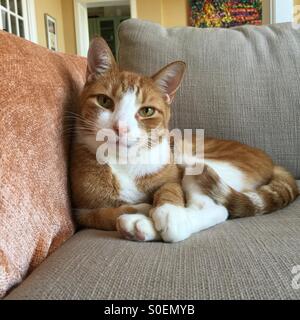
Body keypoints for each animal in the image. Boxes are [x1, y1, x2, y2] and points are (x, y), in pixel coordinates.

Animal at [69, 37, 298, 242]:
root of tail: (271, 161)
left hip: (199, 162)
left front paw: (168, 211)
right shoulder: (81, 210)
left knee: (215, 208)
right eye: (104, 101)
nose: (121, 127)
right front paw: (139, 209)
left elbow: (170, 188)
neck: (123, 161)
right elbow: (102, 214)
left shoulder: (173, 172)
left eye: (147, 111)